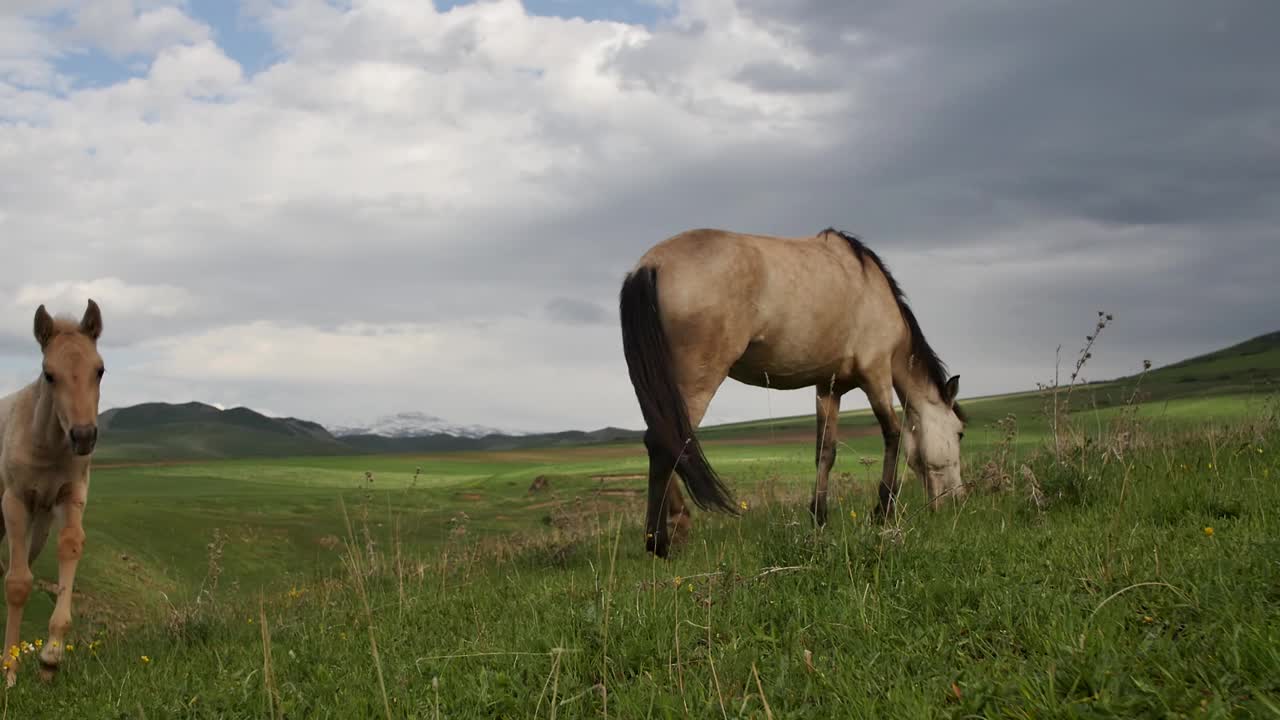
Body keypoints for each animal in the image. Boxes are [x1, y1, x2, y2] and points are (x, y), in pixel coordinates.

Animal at [0, 298, 104, 681]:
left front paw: (51, 657)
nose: (84, 436)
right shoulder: (14, 503)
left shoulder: (70, 496)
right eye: (49, 374)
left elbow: (70, 546)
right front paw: (9, 671)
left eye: (99, 370)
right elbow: (17, 584)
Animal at [616, 225, 962, 556]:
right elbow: (894, 435)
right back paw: (663, 539)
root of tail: (650, 264)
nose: (958, 500)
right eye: (959, 433)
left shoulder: (828, 388)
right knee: (668, 442)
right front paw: (882, 513)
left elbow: (826, 451)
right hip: (696, 381)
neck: (872, 290)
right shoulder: (876, 375)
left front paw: (819, 518)